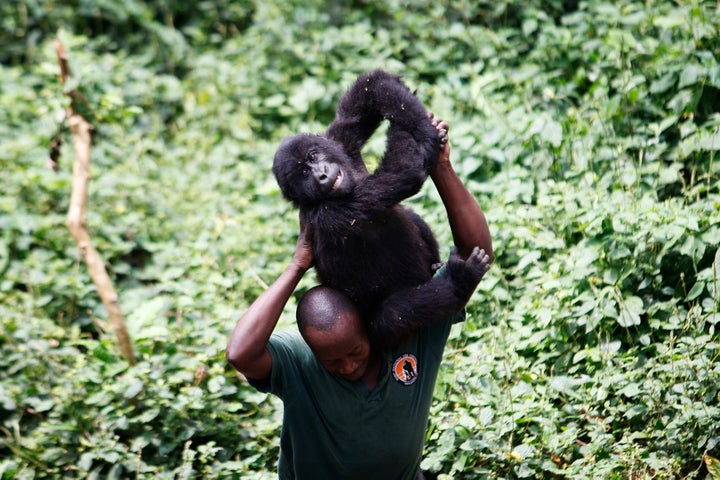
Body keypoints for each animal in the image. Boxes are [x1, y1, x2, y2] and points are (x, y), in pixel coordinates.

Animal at [272, 70, 480, 348]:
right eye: (304, 174)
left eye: (313, 156)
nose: (322, 175)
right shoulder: (331, 213)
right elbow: (404, 171)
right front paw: (427, 135)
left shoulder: (338, 141)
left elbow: (369, 89)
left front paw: (421, 123)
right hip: (375, 330)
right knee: (396, 312)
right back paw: (459, 283)